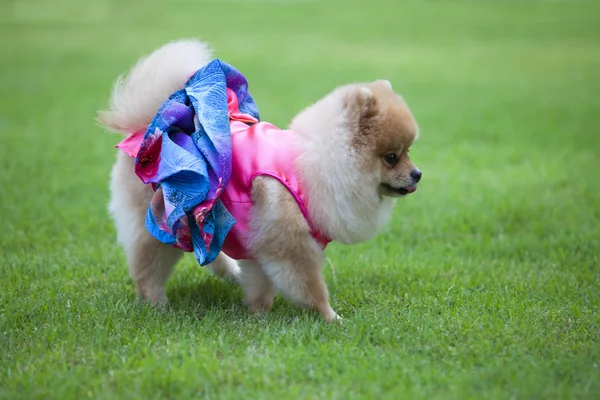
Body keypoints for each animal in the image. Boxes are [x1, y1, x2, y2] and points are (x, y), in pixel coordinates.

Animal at [98, 39, 420, 322]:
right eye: (392, 157)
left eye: (408, 152)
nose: (417, 174)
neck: (315, 167)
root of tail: (148, 125)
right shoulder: (289, 241)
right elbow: (309, 285)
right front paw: (332, 317)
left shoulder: (261, 238)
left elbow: (259, 281)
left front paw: (258, 316)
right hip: (160, 221)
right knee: (147, 267)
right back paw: (156, 304)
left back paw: (228, 271)